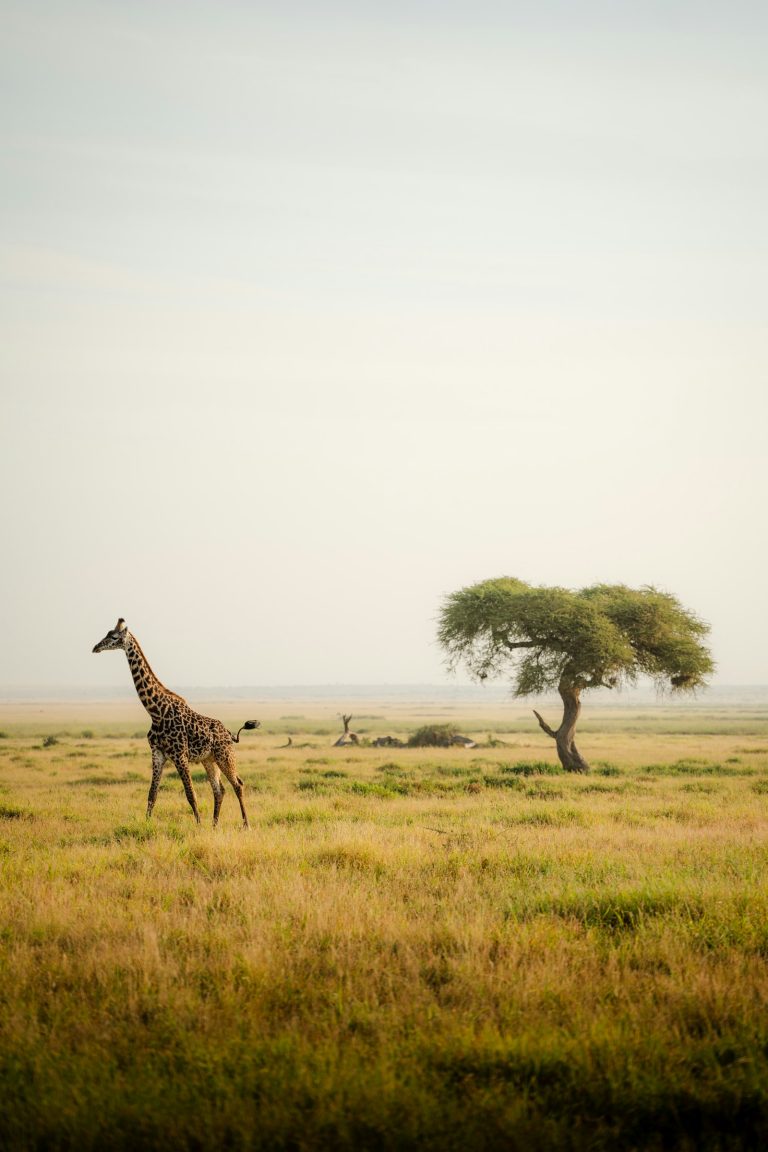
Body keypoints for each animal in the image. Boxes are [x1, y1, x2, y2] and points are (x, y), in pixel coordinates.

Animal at [92, 618, 259, 828]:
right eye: (107, 633)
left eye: (114, 637)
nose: (95, 647)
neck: (156, 711)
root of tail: (229, 733)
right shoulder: (157, 753)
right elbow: (152, 794)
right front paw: (147, 824)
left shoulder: (180, 755)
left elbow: (190, 794)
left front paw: (198, 826)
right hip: (208, 759)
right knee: (219, 789)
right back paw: (214, 825)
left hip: (225, 755)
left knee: (238, 784)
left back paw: (246, 825)